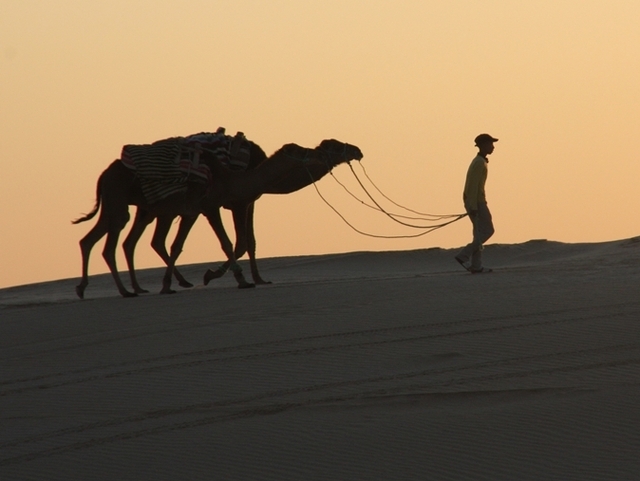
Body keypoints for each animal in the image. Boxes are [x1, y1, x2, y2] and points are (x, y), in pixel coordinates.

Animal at [72, 137, 362, 298]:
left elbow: (185, 245)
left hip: (134, 206)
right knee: (115, 242)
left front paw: (171, 284)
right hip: (124, 201)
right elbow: (229, 242)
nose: (356, 150)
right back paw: (125, 291)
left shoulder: (203, 208)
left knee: (105, 240)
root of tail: (104, 173)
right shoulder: (213, 206)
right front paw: (238, 280)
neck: (232, 178)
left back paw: (96, 288)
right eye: (304, 152)